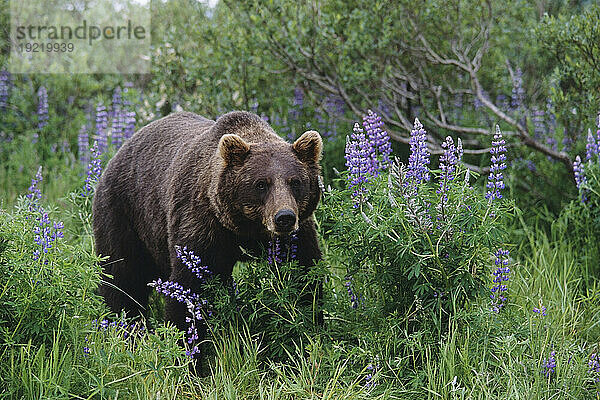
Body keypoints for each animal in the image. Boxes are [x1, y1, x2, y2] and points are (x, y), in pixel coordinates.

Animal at [92, 110, 324, 334]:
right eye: (261, 184)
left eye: (295, 182)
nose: (284, 217)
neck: (246, 228)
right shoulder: (201, 223)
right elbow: (190, 286)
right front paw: (187, 338)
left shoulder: (297, 233)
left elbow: (305, 274)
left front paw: (309, 320)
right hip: (123, 213)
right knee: (123, 278)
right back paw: (123, 326)